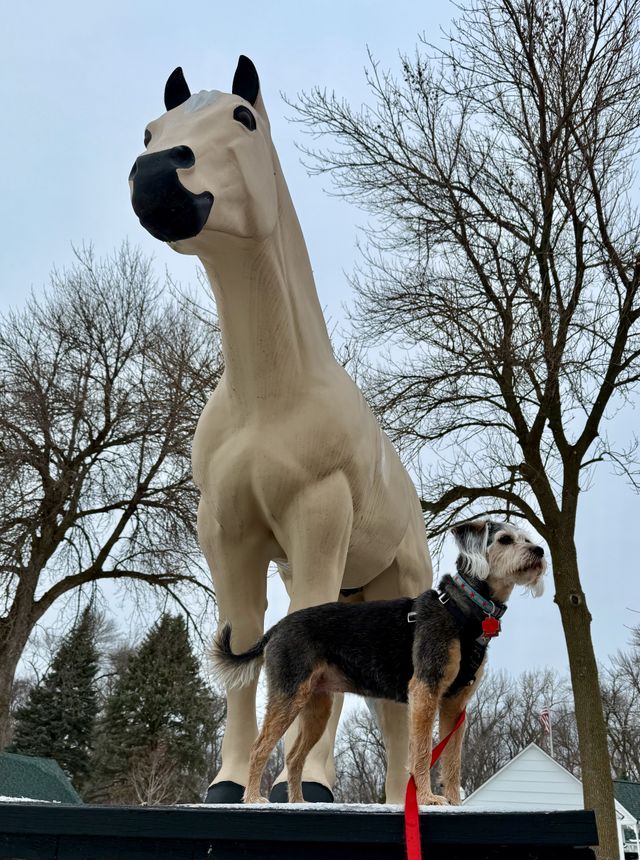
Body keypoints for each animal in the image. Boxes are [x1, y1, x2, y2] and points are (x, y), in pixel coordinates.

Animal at [211, 516, 544, 808]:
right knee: (258, 748)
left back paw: (298, 803)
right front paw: (427, 799)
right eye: (505, 540)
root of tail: (277, 628)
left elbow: (452, 761)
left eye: (526, 538)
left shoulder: (455, 705)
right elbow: (422, 751)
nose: (539, 552)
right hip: (288, 695)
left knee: (294, 757)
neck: (462, 610)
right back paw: (253, 798)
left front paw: (455, 801)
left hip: (317, 707)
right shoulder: (425, 691)